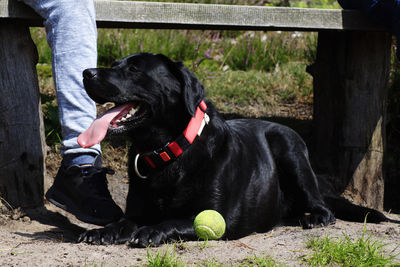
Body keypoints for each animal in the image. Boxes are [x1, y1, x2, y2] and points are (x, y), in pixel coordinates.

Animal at [77, 53, 388, 248]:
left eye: (133, 70)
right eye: (115, 64)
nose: (86, 72)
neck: (168, 151)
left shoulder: (218, 215)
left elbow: (175, 220)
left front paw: (153, 230)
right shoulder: (138, 211)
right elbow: (124, 221)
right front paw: (104, 231)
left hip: (290, 149)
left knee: (324, 207)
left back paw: (314, 217)